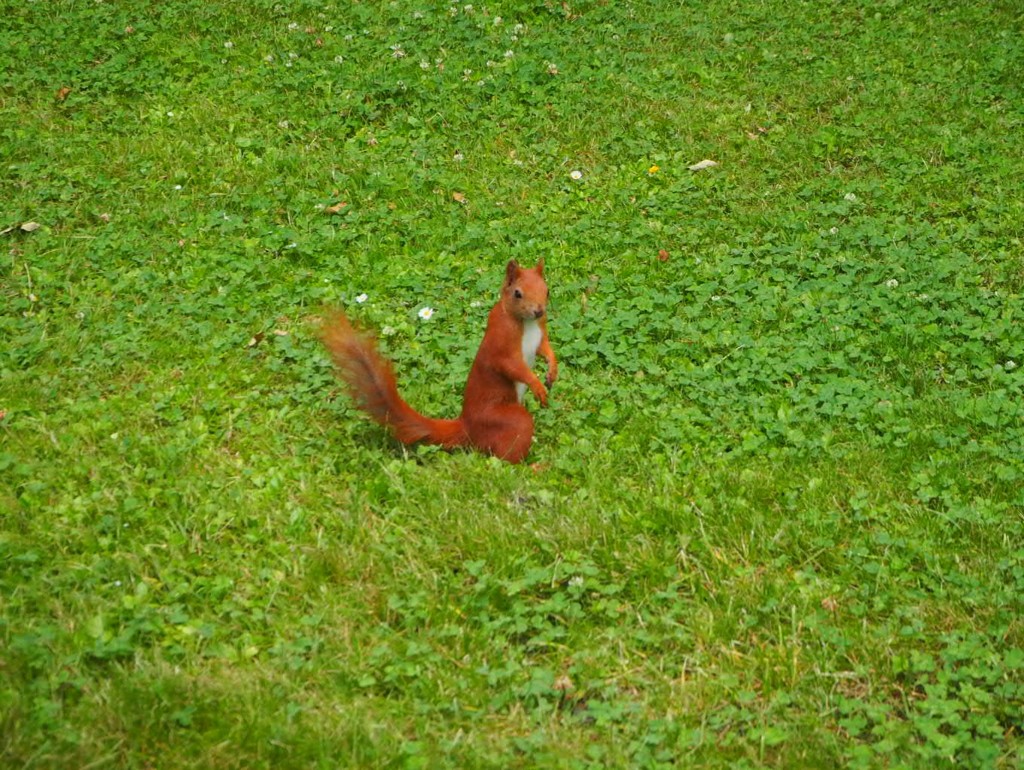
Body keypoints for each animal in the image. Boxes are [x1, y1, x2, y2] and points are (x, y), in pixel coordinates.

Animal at [321, 260, 557, 462]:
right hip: (504, 419)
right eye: (517, 293)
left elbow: (545, 348)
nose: (539, 311)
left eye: (547, 290)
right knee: (507, 453)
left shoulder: (540, 334)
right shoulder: (501, 343)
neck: (525, 323)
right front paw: (537, 385)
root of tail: (467, 426)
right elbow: (512, 366)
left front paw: (552, 370)